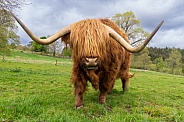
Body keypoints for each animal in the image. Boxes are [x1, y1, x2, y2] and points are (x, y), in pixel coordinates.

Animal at [10, 12, 163, 108]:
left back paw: (124, 91)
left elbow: (104, 85)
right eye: (78, 42)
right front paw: (78, 104)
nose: (91, 61)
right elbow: (79, 86)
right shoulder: (78, 68)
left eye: (102, 42)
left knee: (125, 78)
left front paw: (102, 101)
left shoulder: (110, 71)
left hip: (125, 66)